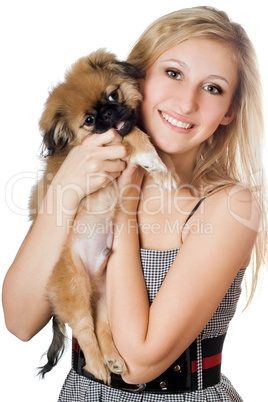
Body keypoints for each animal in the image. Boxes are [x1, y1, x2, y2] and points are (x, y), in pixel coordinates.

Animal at [30, 49, 178, 384]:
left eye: (113, 95)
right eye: (89, 121)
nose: (109, 115)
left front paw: (162, 172)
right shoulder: (108, 143)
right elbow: (134, 134)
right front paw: (154, 160)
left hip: (107, 295)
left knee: (102, 327)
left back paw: (112, 359)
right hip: (74, 288)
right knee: (84, 330)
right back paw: (98, 366)